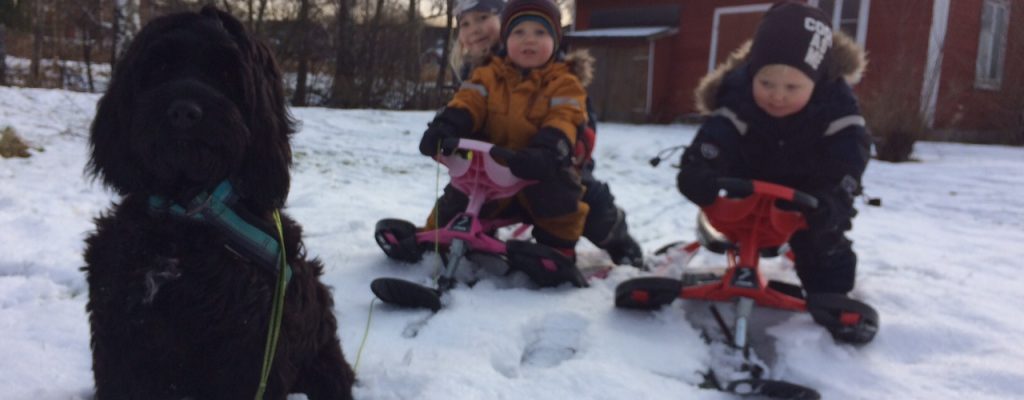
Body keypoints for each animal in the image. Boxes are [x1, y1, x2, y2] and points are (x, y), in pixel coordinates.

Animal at [83, 6, 354, 399]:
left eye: (228, 75)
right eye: (160, 67)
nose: (183, 112)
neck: (184, 215)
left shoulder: (250, 348)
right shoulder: (119, 332)